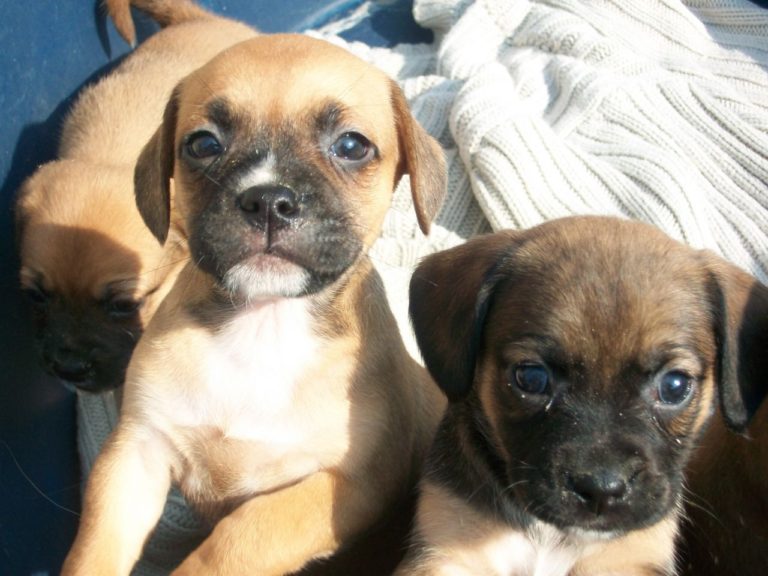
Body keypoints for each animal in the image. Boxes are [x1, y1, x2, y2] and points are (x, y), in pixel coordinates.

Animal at [64, 32, 450, 576]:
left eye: (352, 146)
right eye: (203, 144)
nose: (268, 198)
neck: (264, 322)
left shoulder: (346, 487)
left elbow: (240, 536)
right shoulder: (137, 450)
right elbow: (96, 546)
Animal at [396, 216, 768, 576]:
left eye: (674, 386)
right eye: (531, 378)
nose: (602, 490)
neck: (552, 535)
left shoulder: (627, 561)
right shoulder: (447, 550)